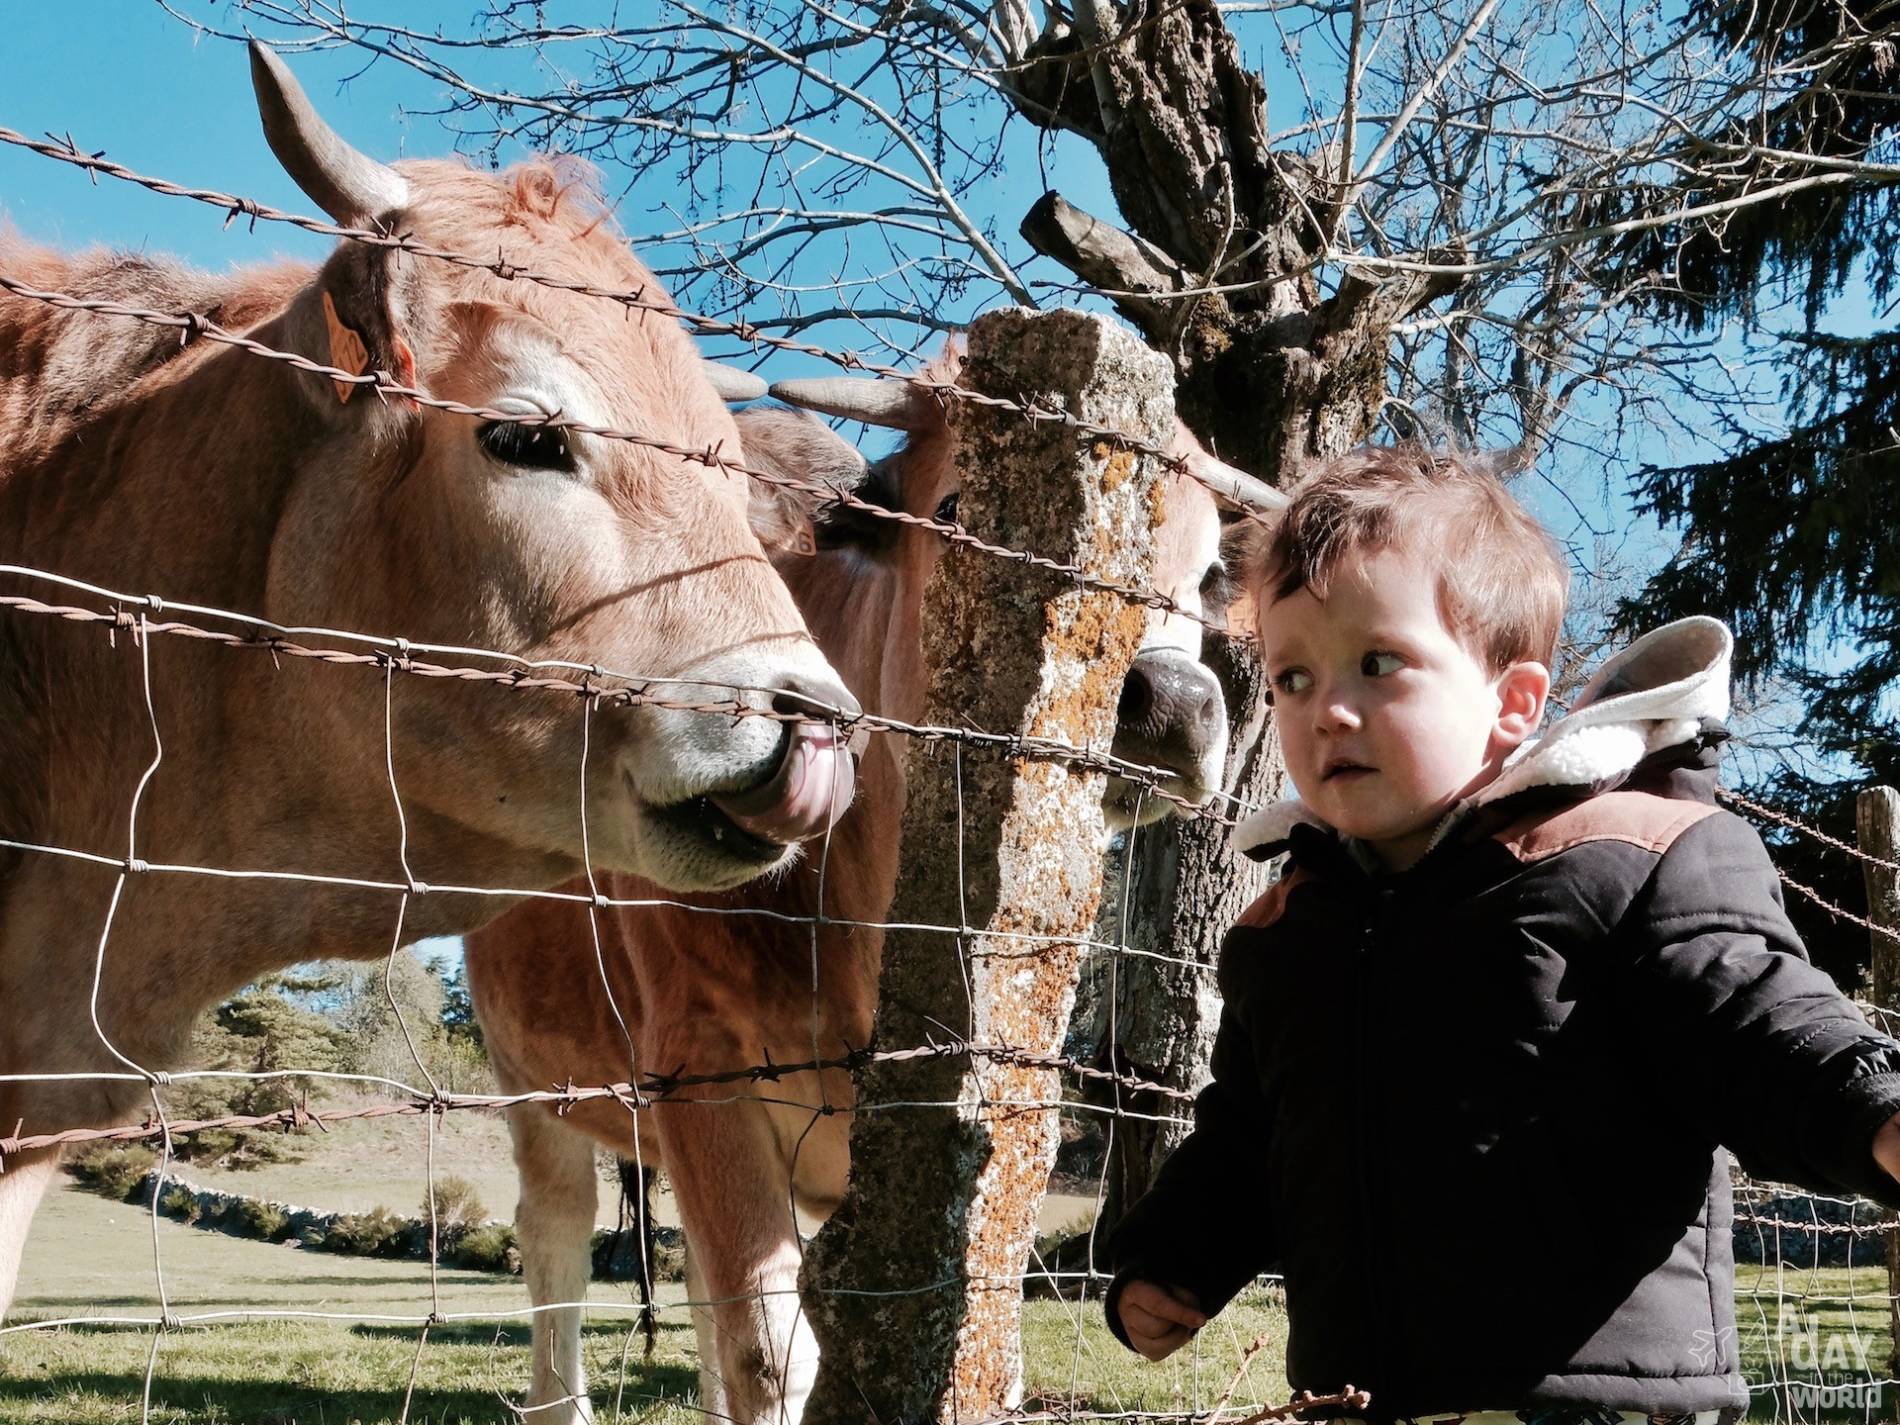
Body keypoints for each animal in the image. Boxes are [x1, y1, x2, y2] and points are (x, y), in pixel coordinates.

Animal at [459, 355, 1276, 1421]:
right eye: (966, 508)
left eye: (1212, 573)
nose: (1175, 700)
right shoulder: (699, 1068)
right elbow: (774, 1352)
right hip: (530, 1073)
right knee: (555, 1231)